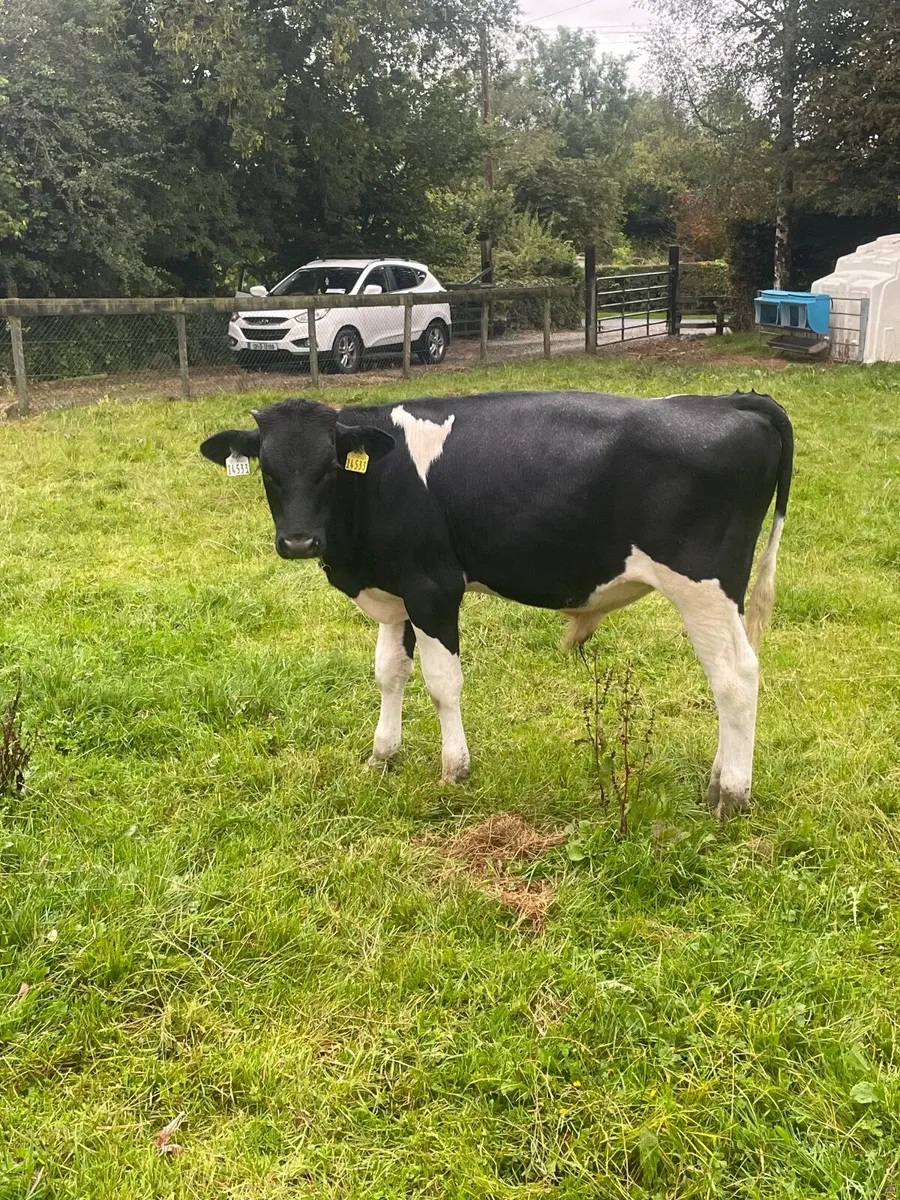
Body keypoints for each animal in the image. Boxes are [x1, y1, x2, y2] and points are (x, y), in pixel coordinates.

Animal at [200, 389, 793, 819]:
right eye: (268, 470)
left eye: (329, 467)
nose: (299, 542)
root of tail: (733, 400)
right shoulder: (396, 592)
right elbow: (389, 672)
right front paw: (382, 756)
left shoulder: (433, 587)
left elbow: (442, 683)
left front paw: (454, 770)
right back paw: (717, 781)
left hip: (703, 587)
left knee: (736, 678)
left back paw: (730, 796)